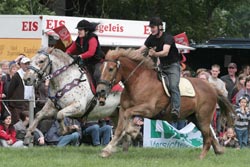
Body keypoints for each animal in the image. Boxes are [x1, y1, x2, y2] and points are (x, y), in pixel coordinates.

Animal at [96, 48, 234, 159]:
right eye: (100, 69)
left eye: (111, 69)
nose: (100, 90)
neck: (138, 82)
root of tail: (212, 87)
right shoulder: (123, 109)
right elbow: (119, 128)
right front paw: (107, 150)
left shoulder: (148, 109)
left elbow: (127, 119)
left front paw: (133, 133)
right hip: (194, 117)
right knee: (210, 134)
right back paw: (219, 150)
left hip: (203, 117)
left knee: (207, 137)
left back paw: (201, 157)